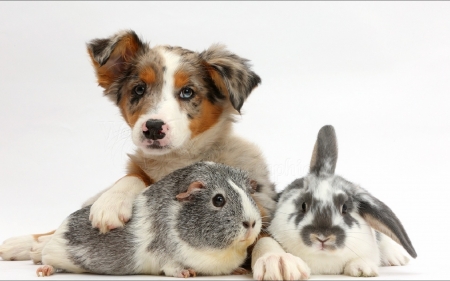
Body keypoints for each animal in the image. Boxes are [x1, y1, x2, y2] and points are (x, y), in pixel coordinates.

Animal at [0, 30, 278, 264]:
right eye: (139, 89)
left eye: (187, 92)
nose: (153, 127)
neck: (176, 159)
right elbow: (134, 177)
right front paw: (111, 203)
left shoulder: (261, 204)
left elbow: (263, 235)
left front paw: (274, 260)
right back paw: (23, 243)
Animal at [35, 161, 262, 276]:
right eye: (218, 200)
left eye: (249, 194)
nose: (251, 223)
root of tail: (61, 228)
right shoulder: (166, 258)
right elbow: (172, 268)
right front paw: (187, 273)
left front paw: (240, 270)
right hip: (54, 254)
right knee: (47, 260)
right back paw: (43, 271)